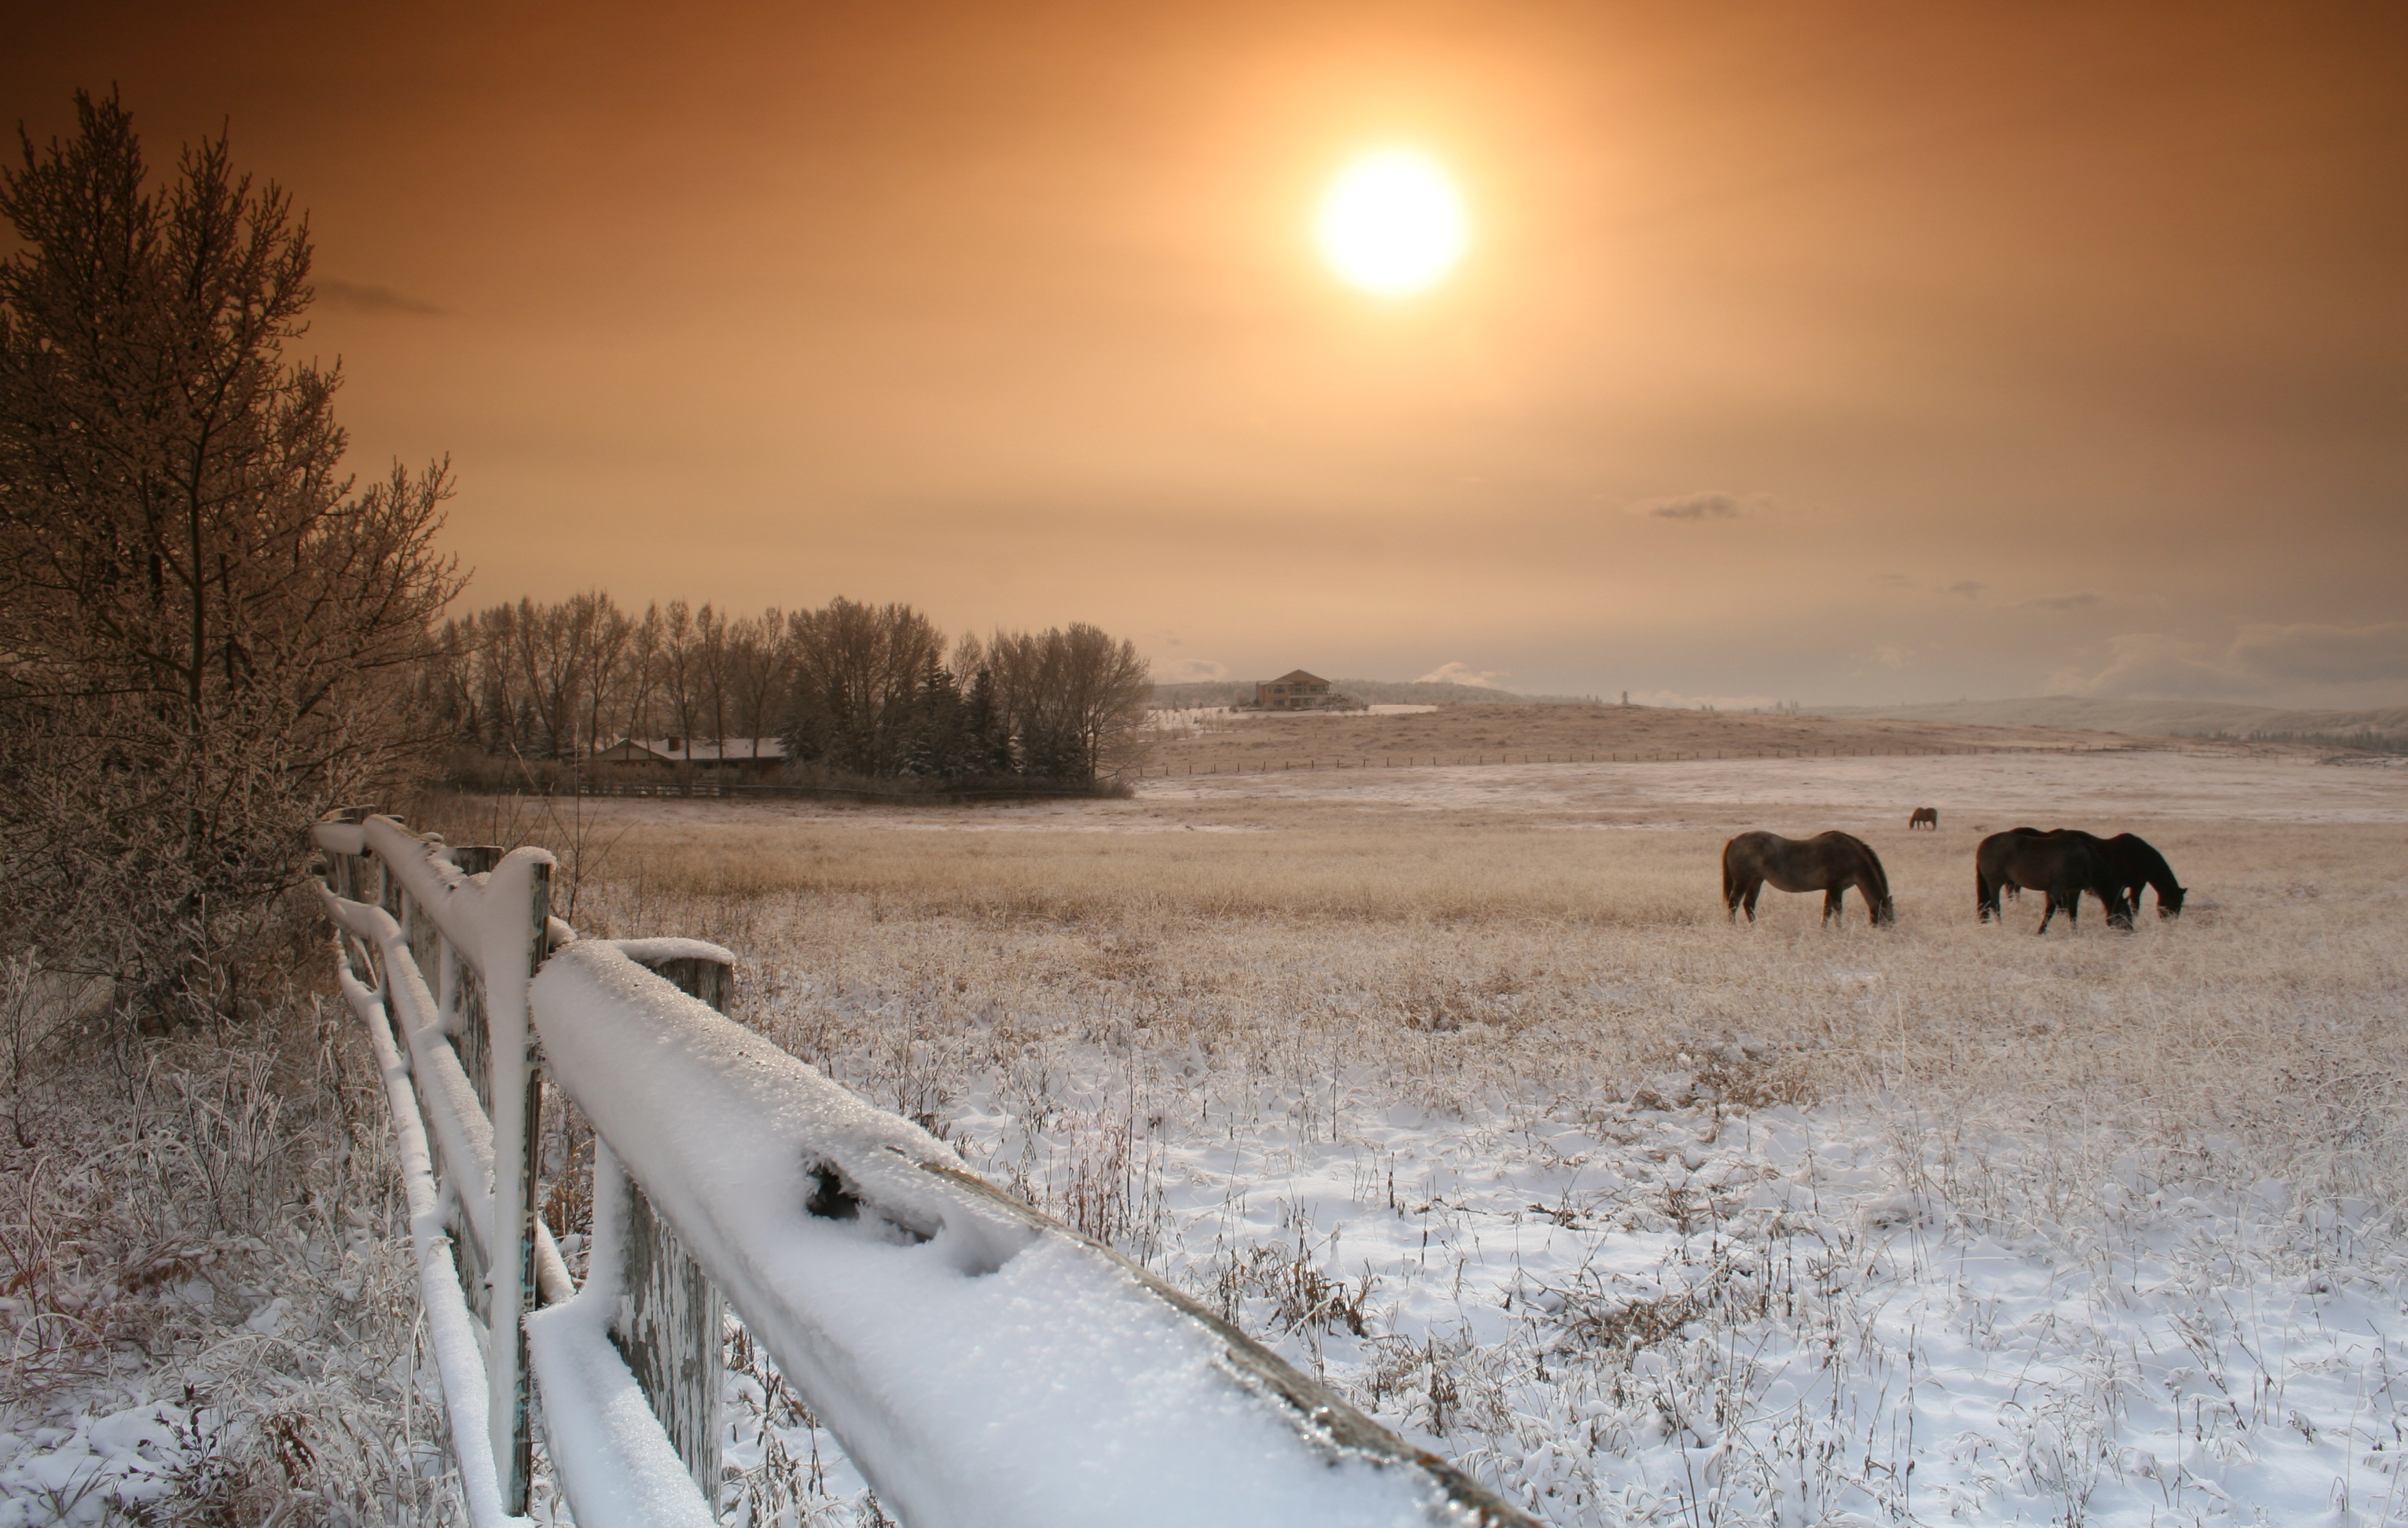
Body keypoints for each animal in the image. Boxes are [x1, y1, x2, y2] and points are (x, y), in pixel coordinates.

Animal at [1733, 829, 1897, 920]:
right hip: (1743, 880)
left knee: (1748, 905)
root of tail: (1736, 840)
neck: (1851, 856)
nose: (1890, 936)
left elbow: (1827, 912)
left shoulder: (1830, 889)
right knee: (1734, 903)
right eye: (1889, 917)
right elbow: (1837, 911)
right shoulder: (1836, 888)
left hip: (1756, 881)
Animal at [1974, 819, 2128, 930]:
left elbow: (2073, 912)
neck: (2086, 860)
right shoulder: (2056, 889)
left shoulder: (2074, 890)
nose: (2130, 931)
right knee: (1995, 904)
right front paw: (2041, 932)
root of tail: (1983, 844)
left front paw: (2075, 932)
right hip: (1995, 882)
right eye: (2126, 913)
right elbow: (2050, 911)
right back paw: (2000, 925)